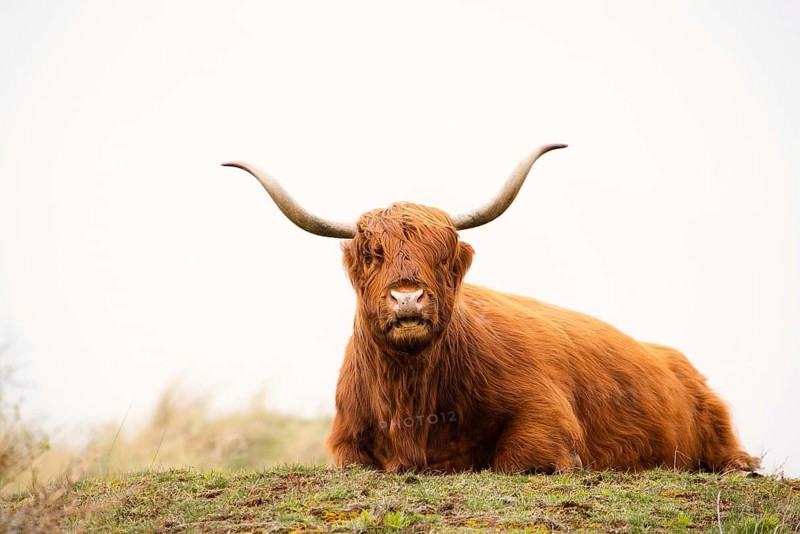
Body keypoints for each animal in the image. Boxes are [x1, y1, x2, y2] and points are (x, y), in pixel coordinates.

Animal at [223, 144, 760, 474]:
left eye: (442, 254)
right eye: (373, 254)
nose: (408, 297)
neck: (411, 400)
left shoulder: (546, 418)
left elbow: (515, 459)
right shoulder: (345, 442)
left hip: (717, 429)